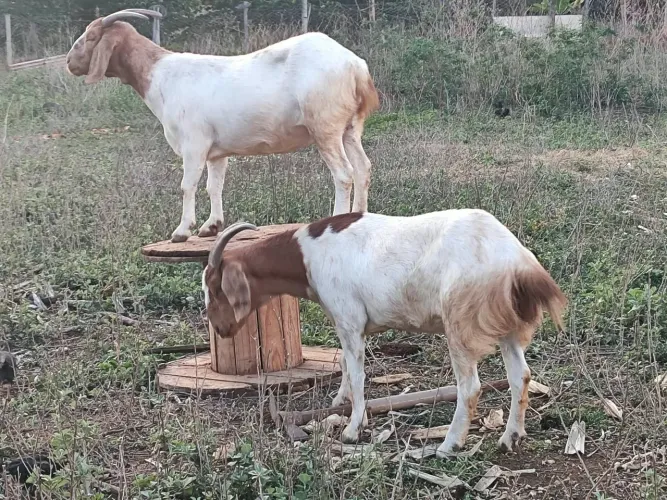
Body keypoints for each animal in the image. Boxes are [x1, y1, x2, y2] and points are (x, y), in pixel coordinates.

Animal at [65, 9, 379, 243]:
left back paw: (337, 219)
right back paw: (358, 216)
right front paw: (211, 226)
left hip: (324, 126)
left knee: (343, 173)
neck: (161, 76)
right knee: (362, 167)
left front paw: (182, 231)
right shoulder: (216, 151)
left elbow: (187, 185)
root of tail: (356, 67)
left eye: (90, 36)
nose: (69, 62)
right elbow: (213, 186)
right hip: (350, 127)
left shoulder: (194, 143)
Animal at [202, 210, 567, 457]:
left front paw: (352, 429)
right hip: (507, 324)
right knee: (521, 376)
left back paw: (449, 444)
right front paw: (339, 403)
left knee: (471, 386)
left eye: (215, 289)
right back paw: (511, 437)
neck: (307, 253)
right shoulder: (346, 324)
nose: (220, 328)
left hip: (460, 321)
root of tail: (518, 262)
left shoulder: (349, 319)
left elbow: (358, 373)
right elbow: (346, 366)